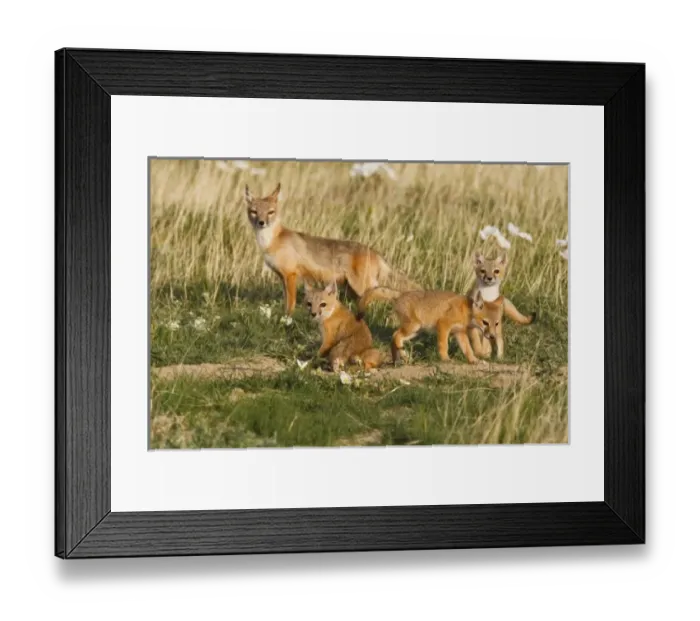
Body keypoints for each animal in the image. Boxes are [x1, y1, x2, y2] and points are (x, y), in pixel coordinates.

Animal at [245, 183, 420, 315]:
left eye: (270, 212)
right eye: (254, 212)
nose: (261, 222)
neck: (272, 241)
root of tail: (374, 252)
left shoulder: (290, 275)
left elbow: (291, 303)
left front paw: (287, 318)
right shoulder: (283, 277)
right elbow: (286, 301)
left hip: (362, 288)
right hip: (353, 291)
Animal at [357, 286, 501, 365]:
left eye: (496, 324)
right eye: (485, 323)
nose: (493, 336)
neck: (465, 310)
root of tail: (401, 294)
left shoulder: (459, 333)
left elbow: (468, 350)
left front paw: (474, 361)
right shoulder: (443, 325)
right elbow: (444, 345)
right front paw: (445, 359)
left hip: (415, 331)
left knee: (394, 337)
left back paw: (397, 360)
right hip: (414, 327)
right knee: (396, 336)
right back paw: (405, 356)